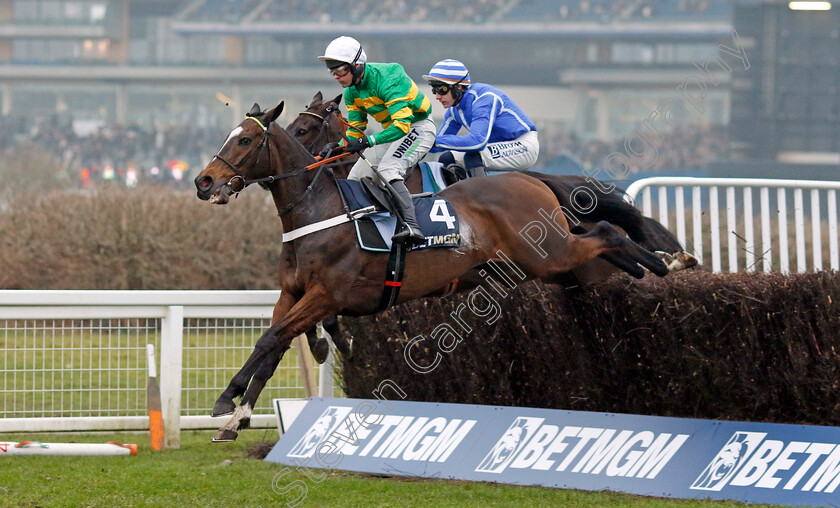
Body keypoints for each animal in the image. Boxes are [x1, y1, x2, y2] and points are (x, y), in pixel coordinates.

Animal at [195, 102, 668, 440]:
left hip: (550, 254)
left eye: (246, 140)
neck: (321, 211)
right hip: (550, 263)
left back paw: (664, 264)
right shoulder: (293, 294)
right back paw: (652, 268)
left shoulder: (327, 295)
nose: (204, 181)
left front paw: (226, 401)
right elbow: (274, 345)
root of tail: (532, 179)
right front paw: (236, 417)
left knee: (606, 230)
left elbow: (272, 339)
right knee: (602, 243)